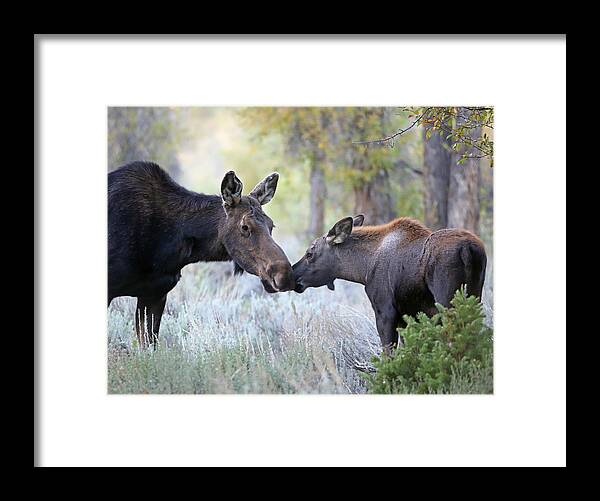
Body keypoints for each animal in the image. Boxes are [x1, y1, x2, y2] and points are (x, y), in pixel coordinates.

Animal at [292, 214, 488, 352]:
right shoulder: (408, 317)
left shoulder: (385, 311)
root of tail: (469, 250)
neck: (363, 268)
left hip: (448, 302)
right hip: (475, 297)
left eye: (310, 253)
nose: (293, 275)